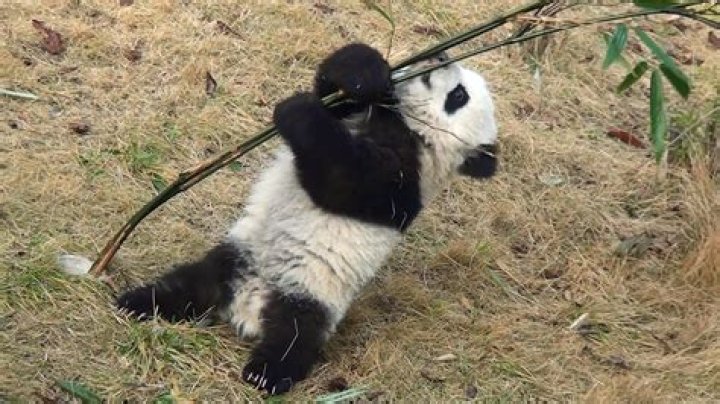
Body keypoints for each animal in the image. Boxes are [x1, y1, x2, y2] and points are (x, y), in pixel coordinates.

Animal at [114, 43, 498, 395]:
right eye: (459, 82)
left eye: (459, 95)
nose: (440, 57)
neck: (416, 130)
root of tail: (248, 306)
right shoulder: (364, 115)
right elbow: (336, 92)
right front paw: (368, 71)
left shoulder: (407, 181)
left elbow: (344, 180)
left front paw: (297, 112)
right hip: (236, 255)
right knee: (189, 284)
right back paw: (137, 303)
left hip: (312, 293)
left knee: (295, 336)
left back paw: (265, 374)